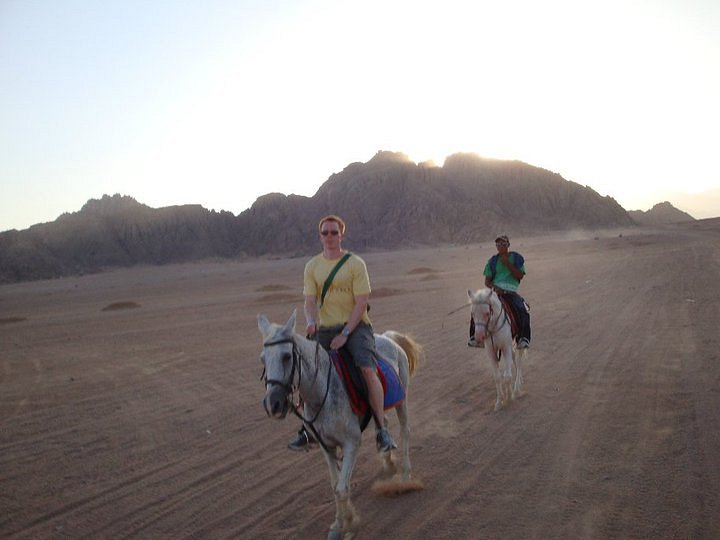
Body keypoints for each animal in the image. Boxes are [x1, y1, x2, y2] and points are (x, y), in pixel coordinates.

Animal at [258, 310, 422, 536]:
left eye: (286, 356)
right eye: (263, 359)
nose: (273, 404)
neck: (322, 392)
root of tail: (389, 337)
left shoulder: (352, 443)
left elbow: (342, 488)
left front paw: (349, 524)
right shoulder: (326, 447)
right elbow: (335, 486)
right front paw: (338, 524)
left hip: (402, 399)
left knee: (405, 430)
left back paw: (405, 478)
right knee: (383, 422)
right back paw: (387, 458)